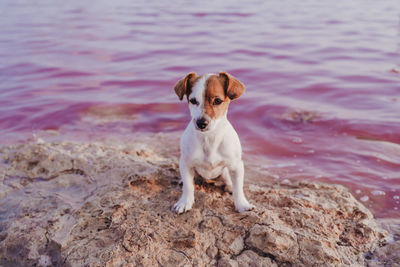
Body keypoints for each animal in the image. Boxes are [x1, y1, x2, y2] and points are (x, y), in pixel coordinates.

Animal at [171, 72, 253, 215]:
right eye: (193, 100)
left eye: (218, 101)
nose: (201, 123)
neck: (209, 139)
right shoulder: (186, 164)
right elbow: (188, 187)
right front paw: (185, 202)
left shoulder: (236, 165)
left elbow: (238, 188)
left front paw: (242, 204)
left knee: (228, 180)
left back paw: (229, 185)